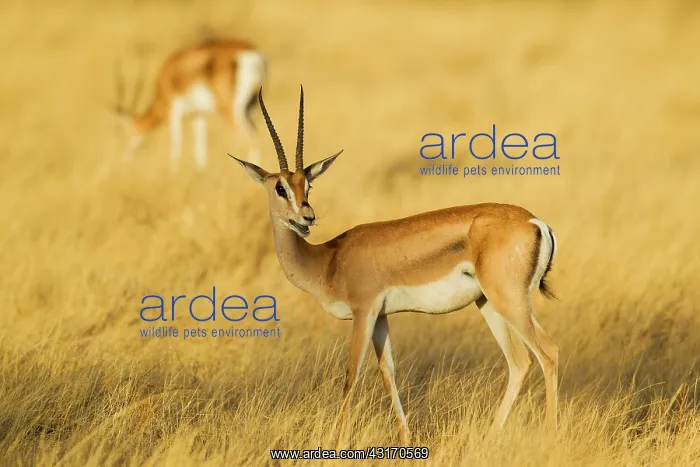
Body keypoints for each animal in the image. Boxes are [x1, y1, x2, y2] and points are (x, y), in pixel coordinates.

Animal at [114, 38, 267, 170]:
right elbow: (199, 150)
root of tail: (251, 53)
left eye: (128, 132)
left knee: (252, 141)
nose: (125, 159)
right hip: (251, 108)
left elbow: (176, 147)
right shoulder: (198, 114)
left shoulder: (174, 112)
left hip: (230, 110)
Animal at [230, 87, 560, 445]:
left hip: (507, 302)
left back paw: (549, 435)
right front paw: (406, 438)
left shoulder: (364, 311)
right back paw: (489, 436)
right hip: (492, 303)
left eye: (308, 185)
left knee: (547, 353)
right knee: (520, 362)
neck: (328, 259)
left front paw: (340, 442)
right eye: (281, 187)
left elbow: (351, 374)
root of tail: (534, 221)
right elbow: (388, 372)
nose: (307, 217)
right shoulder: (381, 317)